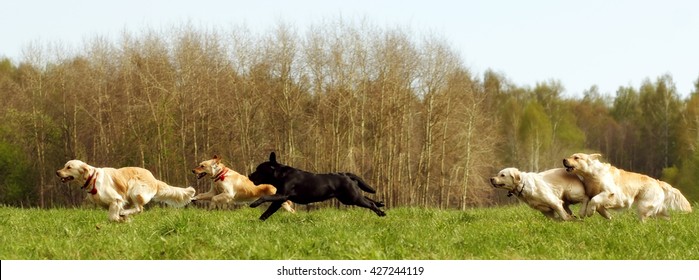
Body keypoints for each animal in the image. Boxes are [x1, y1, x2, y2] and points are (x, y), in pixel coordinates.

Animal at [55, 160, 196, 221]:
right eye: (64, 166)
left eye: (69, 167)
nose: (57, 172)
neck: (92, 178)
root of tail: (154, 179)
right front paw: (123, 218)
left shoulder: (116, 199)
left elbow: (112, 216)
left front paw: (119, 219)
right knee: (137, 209)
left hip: (135, 189)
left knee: (139, 208)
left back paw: (124, 213)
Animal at [247, 152, 388, 220]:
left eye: (259, 170)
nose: (249, 175)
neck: (281, 175)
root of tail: (346, 175)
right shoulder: (279, 199)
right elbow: (267, 212)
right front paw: (258, 221)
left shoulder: (282, 195)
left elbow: (265, 197)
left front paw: (254, 204)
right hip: (348, 198)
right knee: (368, 198)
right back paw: (380, 204)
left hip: (352, 197)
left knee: (369, 204)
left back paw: (380, 212)